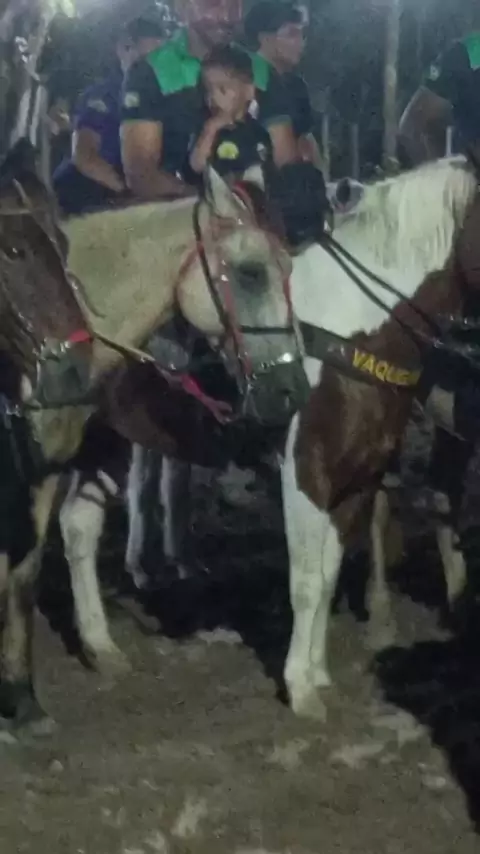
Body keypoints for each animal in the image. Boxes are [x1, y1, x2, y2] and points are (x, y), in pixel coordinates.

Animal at [0, 141, 308, 729]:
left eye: (290, 270)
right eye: (251, 273)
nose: (290, 390)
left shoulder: (56, 459)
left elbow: (29, 567)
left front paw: (23, 692)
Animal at [283, 155, 480, 720]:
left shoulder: (355, 476)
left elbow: (327, 573)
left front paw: (316, 674)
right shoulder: (304, 469)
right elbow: (307, 580)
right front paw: (299, 688)